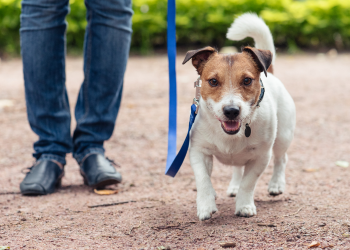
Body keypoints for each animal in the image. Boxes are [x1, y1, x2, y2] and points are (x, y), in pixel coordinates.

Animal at [183, 13, 296, 221]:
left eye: (247, 80)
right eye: (213, 81)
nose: (231, 111)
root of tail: (271, 74)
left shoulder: (261, 156)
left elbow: (248, 183)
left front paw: (244, 205)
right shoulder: (199, 151)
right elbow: (203, 180)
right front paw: (206, 204)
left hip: (283, 136)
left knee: (281, 159)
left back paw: (276, 184)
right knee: (237, 168)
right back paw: (234, 186)